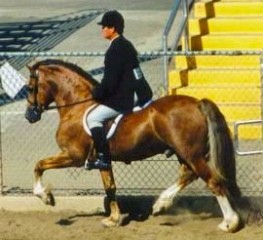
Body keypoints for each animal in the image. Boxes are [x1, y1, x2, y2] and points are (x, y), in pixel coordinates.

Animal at [24, 59, 241, 232]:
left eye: (29, 87)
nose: (29, 115)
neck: (78, 106)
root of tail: (197, 103)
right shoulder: (103, 160)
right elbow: (110, 187)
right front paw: (113, 219)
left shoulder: (73, 156)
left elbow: (38, 165)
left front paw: (46, 197)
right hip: (185, 153)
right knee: (189, 174)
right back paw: (161, 204)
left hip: (190, 154)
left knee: (213, 182)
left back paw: (229, 223)